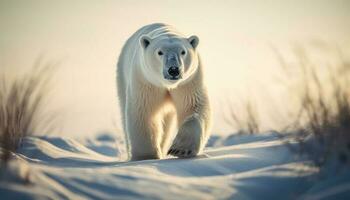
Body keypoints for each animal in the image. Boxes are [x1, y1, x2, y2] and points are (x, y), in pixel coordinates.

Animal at [116, 23, 212, 161]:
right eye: (160, 52)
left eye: (183, 51)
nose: (174, 70)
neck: (167, 85)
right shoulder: (146, 81)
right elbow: (143, 112)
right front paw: (146, 156)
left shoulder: (189, 82)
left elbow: (193, 106)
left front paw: (180, 149)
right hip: (122, 76)